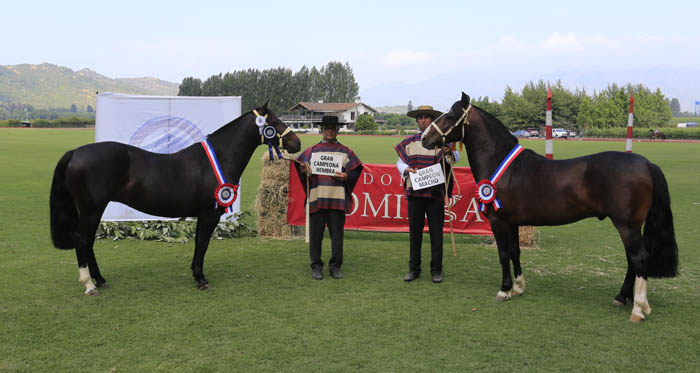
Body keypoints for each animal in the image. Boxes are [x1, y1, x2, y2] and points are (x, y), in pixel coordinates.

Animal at [49, 101, 300, 294]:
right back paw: (90, 285)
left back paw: (100, 279)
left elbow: (200, 243)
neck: (218, 158)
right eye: (274, 122)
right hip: (91, 209)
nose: (295, 143)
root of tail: (76, 152)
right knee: (83, 240)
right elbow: (203, 243)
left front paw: (196, 274)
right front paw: (200, 278)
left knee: (88, 241)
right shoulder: (209, 214)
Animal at [422, 92, 680, 320]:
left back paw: (638, 309)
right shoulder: (513, 223)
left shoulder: (499, 222)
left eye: (449, 116)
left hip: (627, 225)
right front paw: (518, 287)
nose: (424, 138)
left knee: (639, 258)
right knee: (631, 260)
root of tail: (645, 163)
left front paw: (504, 290)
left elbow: (503, 254)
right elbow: (515, 252)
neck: (501, 162)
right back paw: (621, 298)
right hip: (629, 226)